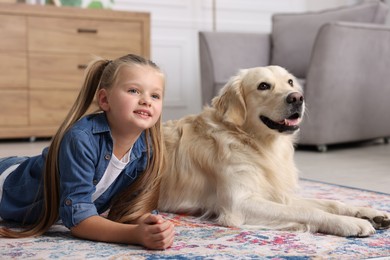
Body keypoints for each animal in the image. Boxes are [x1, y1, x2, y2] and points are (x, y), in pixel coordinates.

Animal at [157, 65, 388, 236]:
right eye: (263, 86)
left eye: (290, 82)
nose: (297, 97)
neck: (253, 142)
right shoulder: (239, 203)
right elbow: (307, 210)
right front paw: (350, 223)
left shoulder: (277, 194)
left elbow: (331, 202)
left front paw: (369, 212)